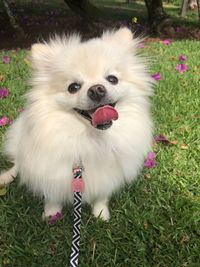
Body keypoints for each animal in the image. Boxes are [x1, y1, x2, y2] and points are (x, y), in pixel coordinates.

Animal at [0, 28, 153, 222]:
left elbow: (102, 196)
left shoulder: (108, 175)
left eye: (112, 79)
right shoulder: (51, 172)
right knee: (18, 165)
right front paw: (51, 215)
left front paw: (101, 214)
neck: (92, 138)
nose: (96, 89)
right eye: (73, 87)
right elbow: (52, 196)